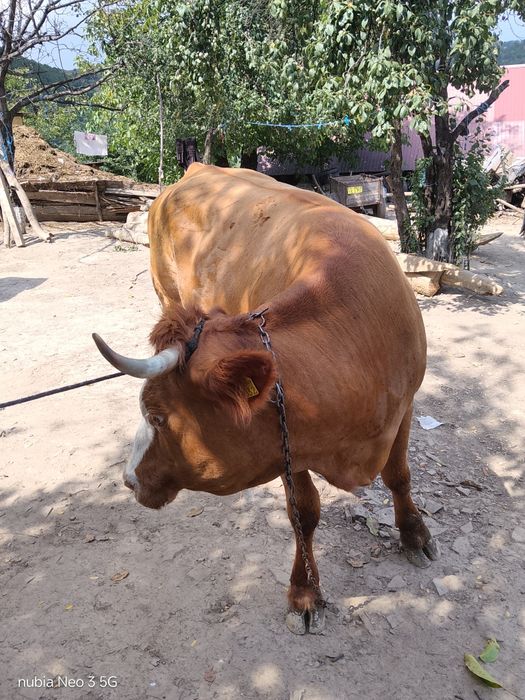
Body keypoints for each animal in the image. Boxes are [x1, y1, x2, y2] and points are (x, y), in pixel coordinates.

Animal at [93, 163, 439, 634]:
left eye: (158, 416)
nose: (128, 479)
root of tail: (196, 169)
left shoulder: (404, 406)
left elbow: (399, 475)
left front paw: (414, 534)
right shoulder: (289, 442)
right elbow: (304, 512)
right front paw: (304, 592)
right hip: (163, 292)